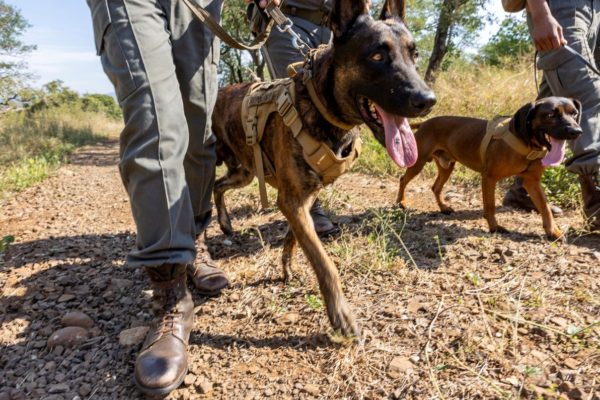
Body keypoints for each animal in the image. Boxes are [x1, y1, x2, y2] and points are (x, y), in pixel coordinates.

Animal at [212, 0, 436, 338]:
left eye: (415, 54)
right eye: (377, 55)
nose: (427, 100)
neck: (320, 105)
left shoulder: (301, 201)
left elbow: (294, 238)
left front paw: (287, 267)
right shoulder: (292, 201)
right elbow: (323, 262)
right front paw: (340, 315)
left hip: (245, 172)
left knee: (218, 186)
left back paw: (225, 223)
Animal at [398, 97, 580, 239]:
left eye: (574, 113)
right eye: (550, 115)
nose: (577, 131)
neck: (526, 143)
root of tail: (425, 122)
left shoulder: (532, 182)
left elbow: (545, 208)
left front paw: (553, 231)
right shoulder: (489, 178)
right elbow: (490, 206)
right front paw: (494, 227)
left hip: (446, 166)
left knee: (435, 187)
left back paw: (443, 208)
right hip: (418, 162)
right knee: (403, 179)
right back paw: (401, 202)